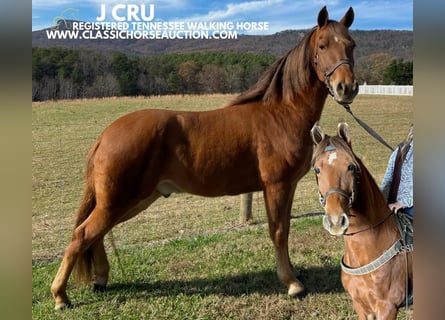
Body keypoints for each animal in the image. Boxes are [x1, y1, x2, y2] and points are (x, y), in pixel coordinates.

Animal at [51, 6, 358, 308]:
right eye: (322, 45)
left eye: (351, 44)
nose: (347, 87)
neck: (280, 113)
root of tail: (105, 135)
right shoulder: (276, 186)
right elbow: (279, 231)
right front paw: (292, 283)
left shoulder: (288, 186)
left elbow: (284, 229)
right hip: (119, 201)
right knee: (82, 234)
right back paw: (60, 296)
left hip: (129, 200)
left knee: (97, 234)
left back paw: (100, 280)